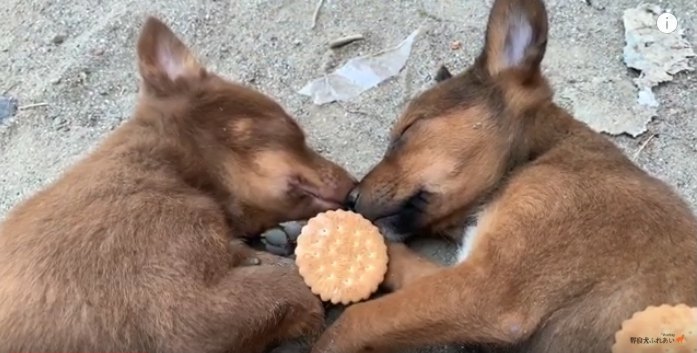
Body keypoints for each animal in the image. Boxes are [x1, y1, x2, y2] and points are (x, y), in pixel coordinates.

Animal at [310, 0, 696, 352]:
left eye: (409, 129)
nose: (350, 199)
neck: (537, 158)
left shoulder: (488, 295)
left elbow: (355, 321)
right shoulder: (465, 273)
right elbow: (399, 260)